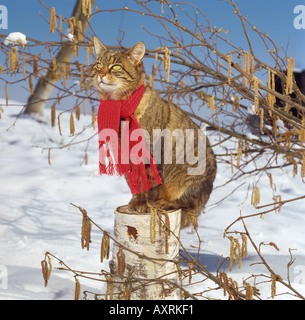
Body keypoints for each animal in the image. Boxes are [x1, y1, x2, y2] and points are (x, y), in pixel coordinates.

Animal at [91, 37, 216, 228]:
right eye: (98, 65)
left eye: (116, 67)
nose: (101, 74)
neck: (121, 106)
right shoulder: (126, 155)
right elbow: (136, 182)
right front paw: (136, 200)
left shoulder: (151, 152)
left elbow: (149, 182)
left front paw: (145, 203)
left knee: (187, 205)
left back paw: (165, 202)